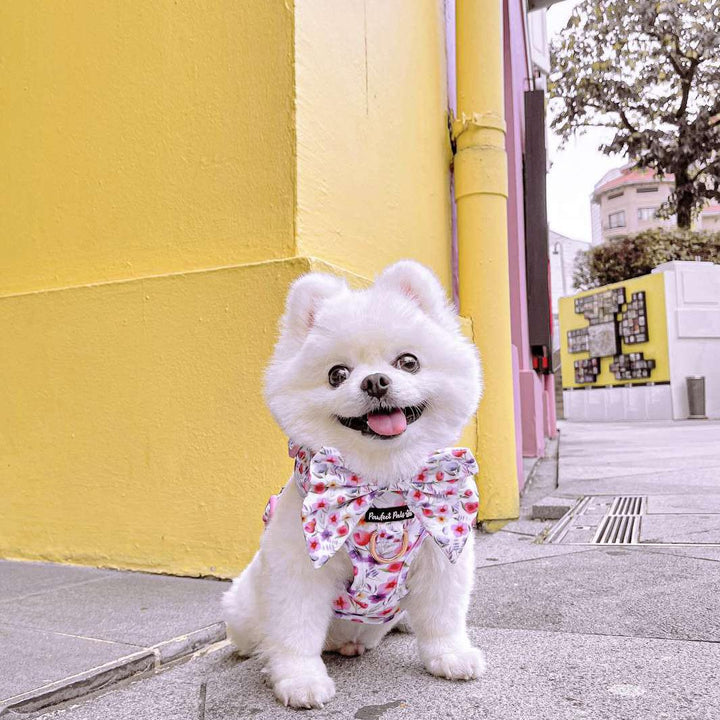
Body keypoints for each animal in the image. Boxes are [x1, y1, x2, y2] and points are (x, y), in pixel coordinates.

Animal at [224, 260, 484, 708]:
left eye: (408, 362)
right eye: (337, 374)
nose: (376, 381)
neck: (381, 491)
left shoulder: (440, 555)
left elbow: (442, 616)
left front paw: (450, 656)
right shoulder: (298, 568)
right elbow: (295, 633)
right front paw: (299, 680)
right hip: (241, 609)